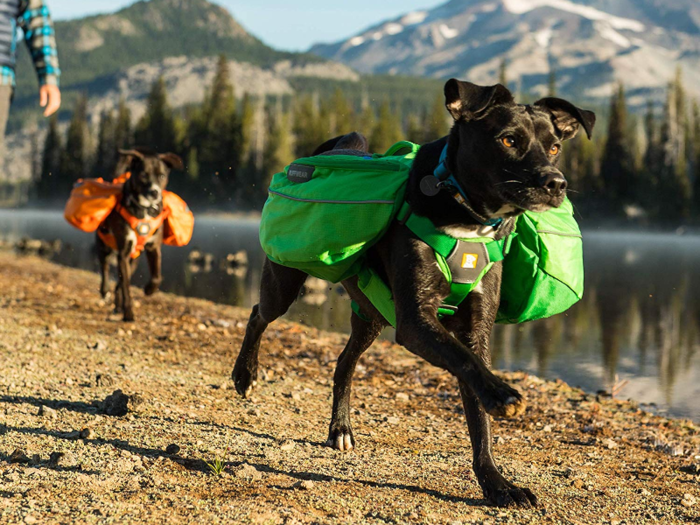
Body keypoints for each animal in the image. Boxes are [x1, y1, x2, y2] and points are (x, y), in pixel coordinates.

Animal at [97, 145, 183, 322]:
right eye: (143, 174)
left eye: (162, 176)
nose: (155, 192)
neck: (144, 210)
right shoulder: (123, 253)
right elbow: (125, 286)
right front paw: (128, 313)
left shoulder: (153, 248)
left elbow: (156, 276)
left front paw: (149, 289)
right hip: (104, 244)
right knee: (105, 268)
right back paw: (105, 291)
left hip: (134, 259)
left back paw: (117, 305)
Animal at [232, 80, 592, 506]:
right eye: (509, 140)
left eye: (554, 146)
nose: (556, 183)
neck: (467, 219)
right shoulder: (416, 320)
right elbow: (465, 360)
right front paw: (501, 394)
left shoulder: (475, 326)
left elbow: (477, 407)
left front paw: (496, 483)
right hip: (285, 284)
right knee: (259, 312)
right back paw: (245, 374)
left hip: (370, 315)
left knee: (343, 363)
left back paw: (340, 428)